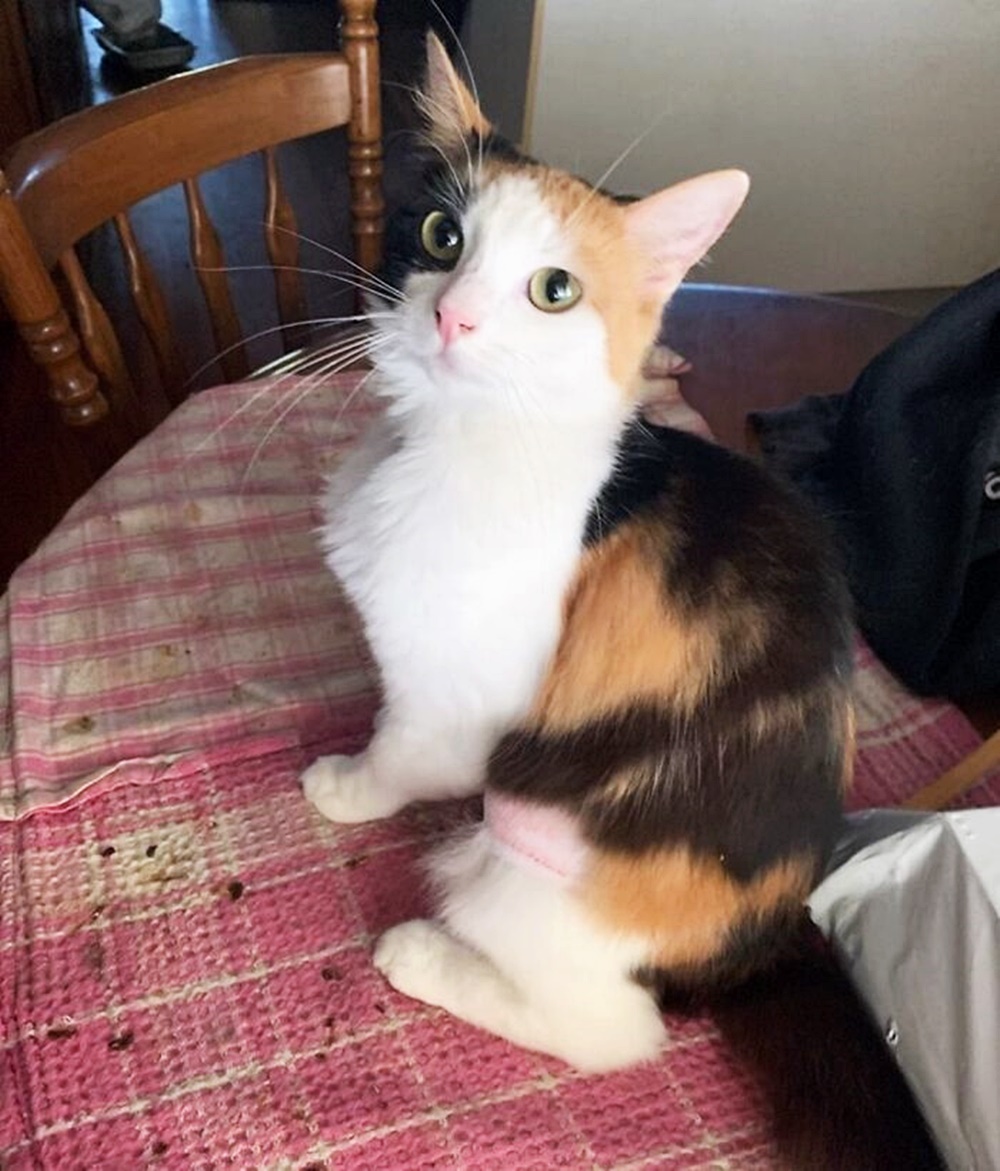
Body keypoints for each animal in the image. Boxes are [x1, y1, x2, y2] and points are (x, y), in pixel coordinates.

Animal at [302, 34, 941, 1168]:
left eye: (554, 290)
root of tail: (764, 939)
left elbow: (402, 749)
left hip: (532, 870)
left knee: (614, 1032)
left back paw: (422, 955)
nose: (452, 314)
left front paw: (348, 783)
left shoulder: (462, 705)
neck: (463, 444)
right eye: (439, 234)